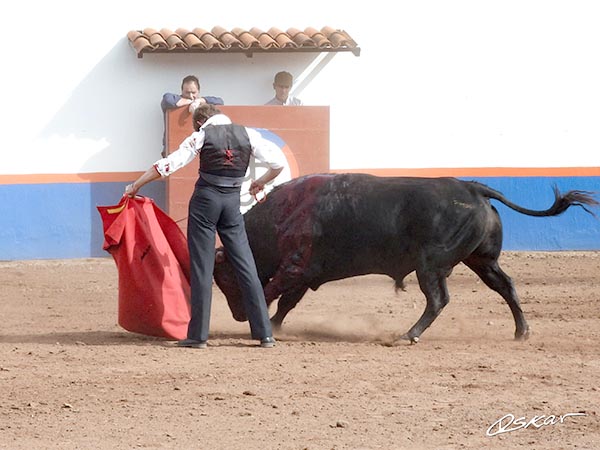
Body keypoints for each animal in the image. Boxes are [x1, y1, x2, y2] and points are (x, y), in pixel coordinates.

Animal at [212, 174, 596, 342]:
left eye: (225, 276)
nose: (237, 315)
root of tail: (473, 187)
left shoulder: (296, 266)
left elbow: (270, 291)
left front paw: (261, 324)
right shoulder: (304, 273)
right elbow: (286, 303)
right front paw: (274, 325)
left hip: (430, 265)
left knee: (438, 299)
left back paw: (408, 335)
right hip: (482, 260)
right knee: (505, 286)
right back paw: (521, 331)